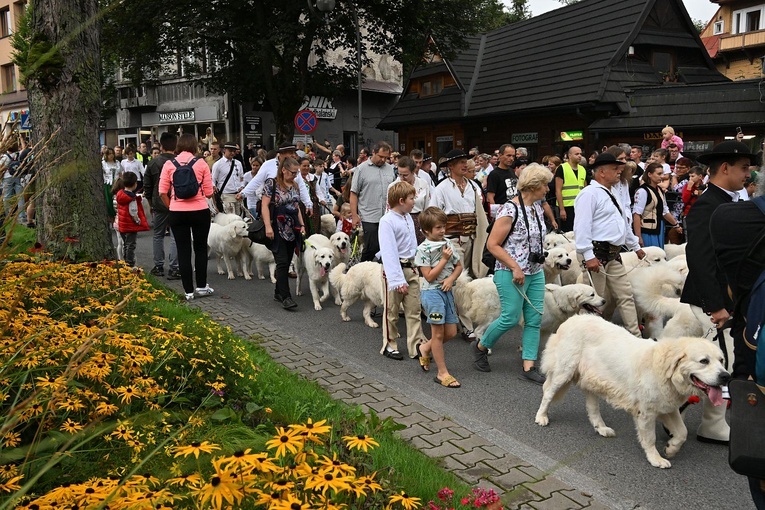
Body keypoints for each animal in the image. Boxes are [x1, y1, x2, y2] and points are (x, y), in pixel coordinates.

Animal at [532, 316, 728, 468]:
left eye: (721, 360)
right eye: (704, 361)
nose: (725, 376)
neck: (665, 371)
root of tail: (571, 319)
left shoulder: (668, 407)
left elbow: (682, 432)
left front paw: (671, 449)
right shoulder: (647, 412)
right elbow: (650, 438)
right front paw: (655, 458)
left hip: (593, 380)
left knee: (592, 407)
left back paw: (601, 428)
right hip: (564, 372)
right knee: (547, 393)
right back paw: (541, 416)